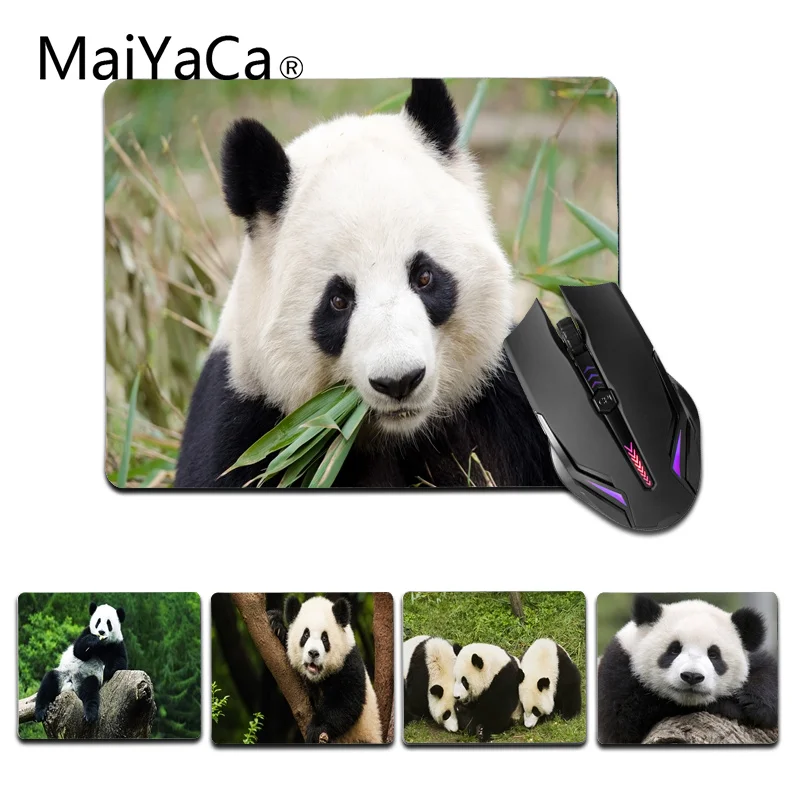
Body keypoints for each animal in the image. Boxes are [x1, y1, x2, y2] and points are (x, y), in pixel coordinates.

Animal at [175, 79, 557, 489]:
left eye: (424, 276)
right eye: (338, 300)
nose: (399, 381)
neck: (398, 434)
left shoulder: (502, 399)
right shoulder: (249, 422)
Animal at [269, 595, 382, 743]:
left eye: (324, 638)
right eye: (305, 635)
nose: (313, 653)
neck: (317, 677)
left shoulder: (348, 661)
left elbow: (345, 702)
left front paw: (316, 730)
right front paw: (276, 624)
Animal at [598, 595, 778, 744]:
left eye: (714, 655)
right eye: (674, 650)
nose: (692, 676)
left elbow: (767, 671)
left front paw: (754, 703)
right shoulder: (617, 671)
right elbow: (626, 718)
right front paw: (730, 706)